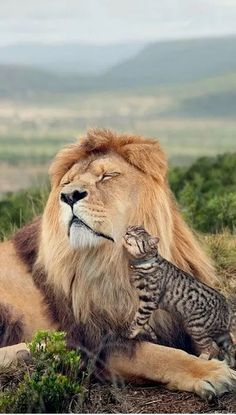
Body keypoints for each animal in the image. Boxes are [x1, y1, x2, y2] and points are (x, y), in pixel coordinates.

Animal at [123, 228, 236, 368]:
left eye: (135, 236)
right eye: (129, 229)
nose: (126, 233)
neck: (144, 263)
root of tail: (226, 306)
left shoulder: (149, 302)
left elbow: (138, 319)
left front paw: (129, 333)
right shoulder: (144, 302)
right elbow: (144, 321)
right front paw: (149, 332)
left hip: (195, 328)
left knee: (209, 346)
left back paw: (202, 359)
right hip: (220, 335)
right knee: (230, 348)